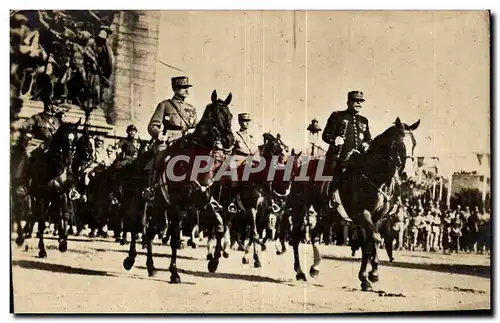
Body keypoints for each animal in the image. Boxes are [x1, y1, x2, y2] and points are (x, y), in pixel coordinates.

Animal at [15, 119, 81, 258]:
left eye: (76, 138)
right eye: (63, 138)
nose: (68, 161)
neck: (53, 168)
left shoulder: (62, 195)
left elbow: (64, 216)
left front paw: (63, 243)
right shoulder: (42, 197)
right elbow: (41, 222)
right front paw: (42, 250)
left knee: (30, 215)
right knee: (20, 212)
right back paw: (21, 238)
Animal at [124, 90, 235, 284]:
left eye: (230, 115)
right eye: (215, 115)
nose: (230, 140)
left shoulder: (201, 204)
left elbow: (219, 226)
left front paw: (213, 262)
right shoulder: (176, 207)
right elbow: (175, 239)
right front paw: (174, 272)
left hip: (159, 207)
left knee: (150, 231)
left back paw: (151, 267)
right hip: (141, 203)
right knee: (137, 226)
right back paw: (130, 259)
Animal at [286, 118, 418, 292]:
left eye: (414, 144)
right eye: (400, 144)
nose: (409, 176)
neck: (373, 176)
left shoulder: (378, 218)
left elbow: (369, 243)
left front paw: (369, 276)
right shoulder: (362, 214)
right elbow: (374, 239)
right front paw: (369, 275)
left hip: (330, 215)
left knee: (314, 234)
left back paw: (315, 267)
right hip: (300, 208)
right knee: (295, 238)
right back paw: (300, 272)